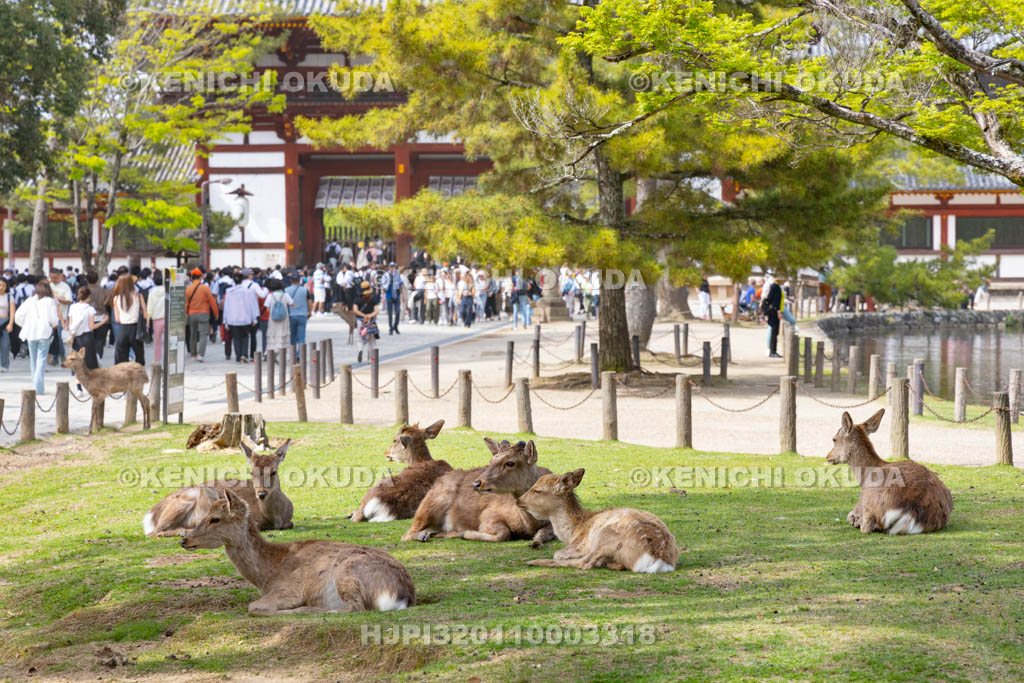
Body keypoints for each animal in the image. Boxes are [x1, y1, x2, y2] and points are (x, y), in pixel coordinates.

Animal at [143, 439, 293, 537]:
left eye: (273, 471)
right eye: (251, 472)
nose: (261, 494)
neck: (274, 518)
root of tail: (151, 514)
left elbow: (290, 524)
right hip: (192, 496)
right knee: (154, 532)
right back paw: (184, 531)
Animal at [180, 489, 415, 615]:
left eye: (215, 519)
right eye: (204, 514)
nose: (185, 539)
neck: (266, 576)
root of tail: (401, 596)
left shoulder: (289, 589)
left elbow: (252, 606)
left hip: (347, 572)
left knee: (354, 608)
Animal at [401, 438, 555, 546]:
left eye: (510, 463)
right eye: (491, 460)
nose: (476, 484)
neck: (529, 525)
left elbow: (544, 534)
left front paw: (536, 542)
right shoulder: (488, 514)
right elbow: (503, 533)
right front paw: (467, 533)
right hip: (430, 505)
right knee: (406, 534)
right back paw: (424, 536)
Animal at [518, 469, 679, 573]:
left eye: (537, 490)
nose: (518, 500)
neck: (574, 530)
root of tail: (661, 559)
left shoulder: (580, 545)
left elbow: (558, 553)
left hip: (604, 535)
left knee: (585, 563)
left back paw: (532, 561)